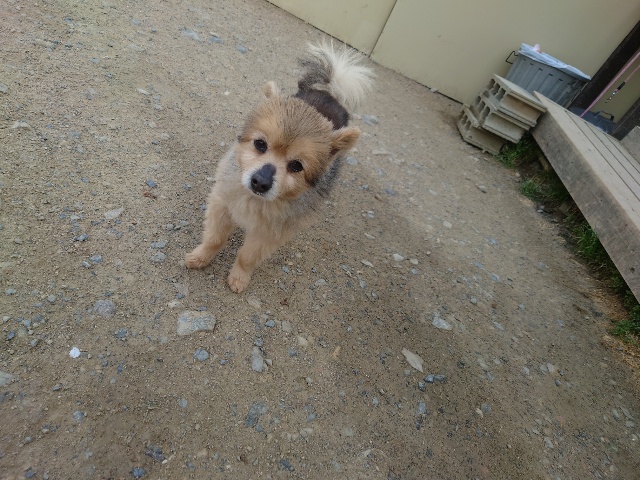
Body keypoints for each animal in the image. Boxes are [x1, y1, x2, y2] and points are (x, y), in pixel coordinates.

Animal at [185, 42, 374, 293]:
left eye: (296, 165)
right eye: (260, 144)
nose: (260, 182)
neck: (255, 201)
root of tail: (329, 93)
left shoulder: (269, 234)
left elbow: (247, 257)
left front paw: (239, 276)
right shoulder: (222, 205)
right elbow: (215, 239)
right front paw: (200, 257)